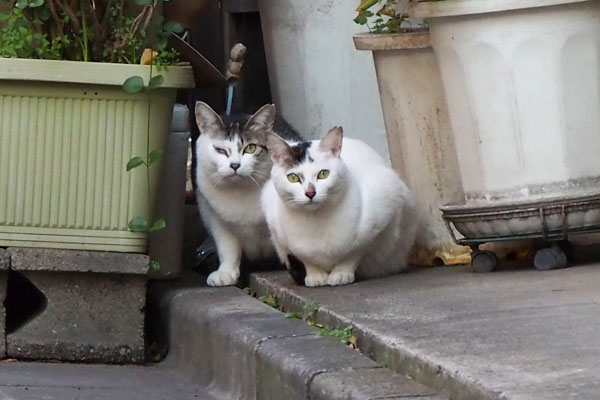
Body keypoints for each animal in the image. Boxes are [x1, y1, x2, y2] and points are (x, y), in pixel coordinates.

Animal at [195, 101, 302, 286]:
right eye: (220, 150)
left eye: (250, 148)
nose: (235, 165)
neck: (240, 190)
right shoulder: (215, 220)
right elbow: (227, 249)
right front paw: (226, 272)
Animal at [262, 126, 418, 286]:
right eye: (293, 177)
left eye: (323, 174)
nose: (310, 193)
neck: (316, 221)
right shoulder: (280, 234)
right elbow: (305, 259)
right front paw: (315, 275)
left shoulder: (380, 219)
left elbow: (354, 254)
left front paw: (341, 274)